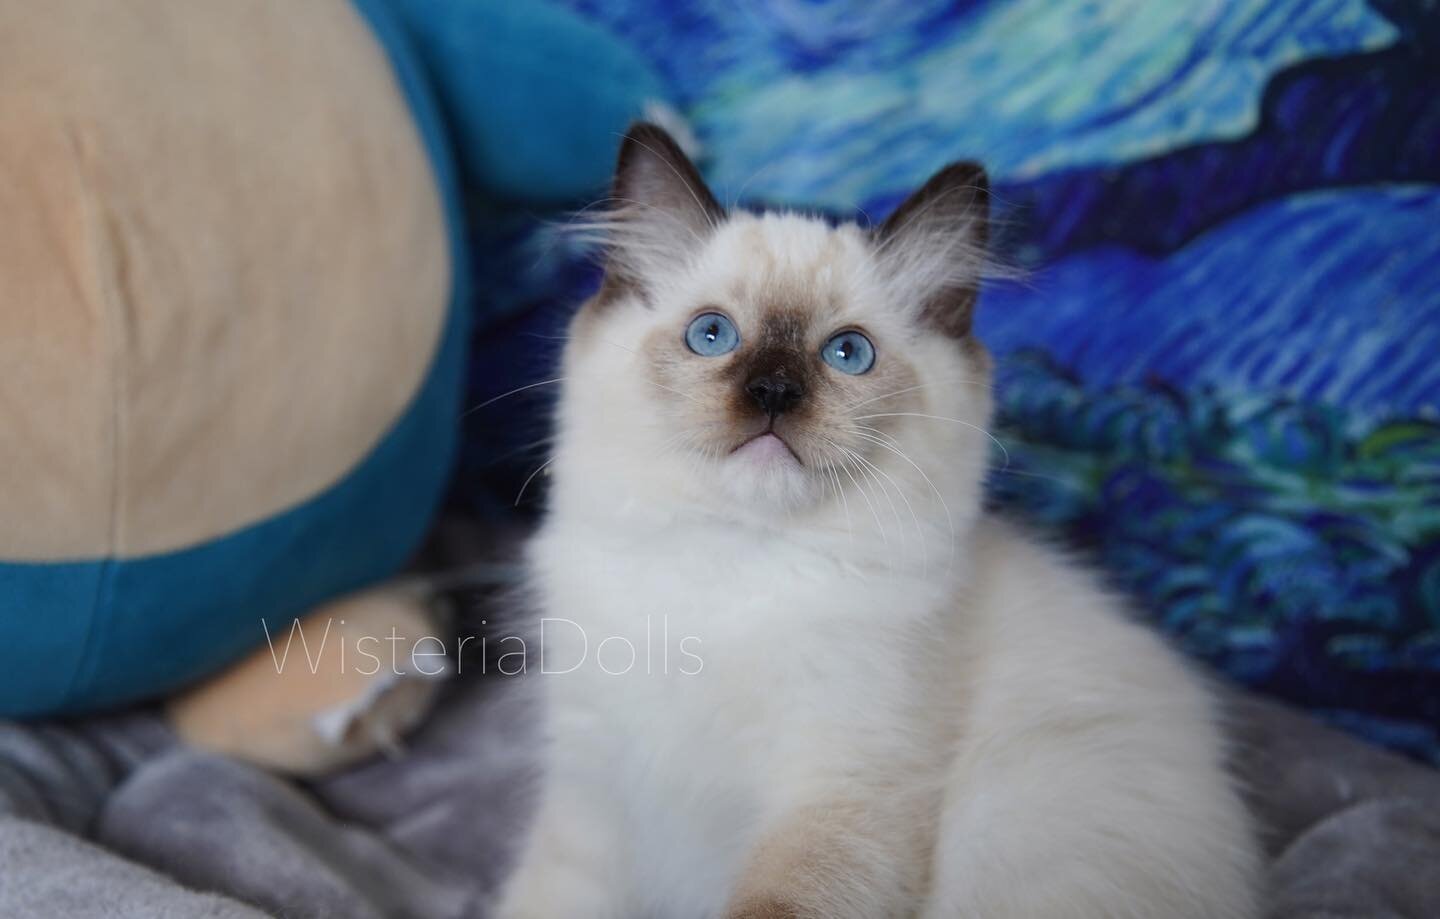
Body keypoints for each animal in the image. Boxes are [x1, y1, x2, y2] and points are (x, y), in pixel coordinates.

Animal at [495, 123, 1261, 919]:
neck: (735, 571)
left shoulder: (838, 799)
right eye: (712, 335)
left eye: (847, 353)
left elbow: (774, 902)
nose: (774, 391)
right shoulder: (590, 803)